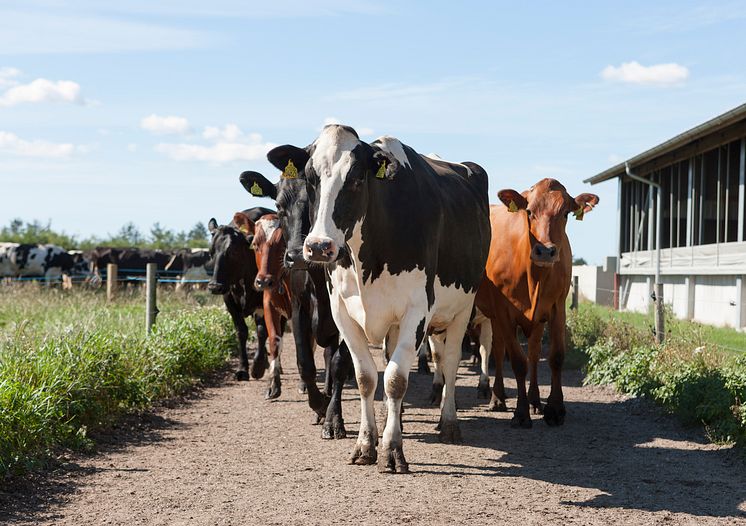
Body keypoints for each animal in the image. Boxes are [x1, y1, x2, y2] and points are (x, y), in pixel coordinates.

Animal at [232, 211, 290, 400]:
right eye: (255, 244)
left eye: (282, 244)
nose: (263, 281)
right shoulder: (269, 305)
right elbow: (274, 341)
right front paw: (273, 385)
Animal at [240, 164, 354, 442]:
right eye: (279, 205)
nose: (296, 256)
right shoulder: (297, 309)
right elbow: (303, 360)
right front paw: (319, 404)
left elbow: (339, 363)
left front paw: (333, 417)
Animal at [476, 179, 600, 432]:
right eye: (529, 212)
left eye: (565, 213)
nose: (545, 251)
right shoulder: (503, 311)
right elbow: (517, 361)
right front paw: (521, 413)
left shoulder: (557, 307)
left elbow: (555, 356)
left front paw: (555, 409)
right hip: (494, 315)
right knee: (499, 349)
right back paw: (498, 398)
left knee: (532, 353)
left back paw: (534, 401)